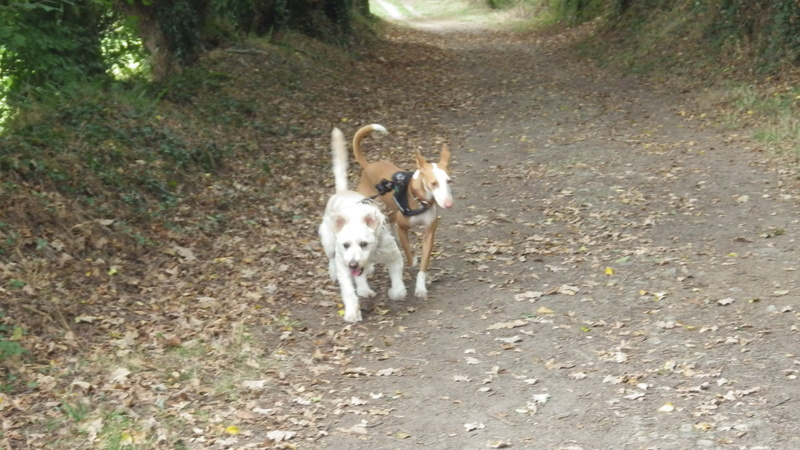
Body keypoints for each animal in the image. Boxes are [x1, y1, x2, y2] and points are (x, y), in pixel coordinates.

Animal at [318, 128, 406, 322]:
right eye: (345, 245)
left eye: (364, 244)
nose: (353, 264)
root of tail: (342, 191)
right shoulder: (344, 265)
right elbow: (349, 292)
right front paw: (352, 313)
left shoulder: (393, 256)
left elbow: (396, 279)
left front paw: (397, 292)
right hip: (329, 243)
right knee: (331, 260)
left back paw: (365, 288)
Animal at [354, 124, 454, 298]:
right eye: (433, 183)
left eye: (449, 181)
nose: (448, 204)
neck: (419, 200)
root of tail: (368, 166)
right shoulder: (403, 228)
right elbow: (407, 251)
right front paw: (411, 261)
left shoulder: (429, 234)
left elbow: (423, 266)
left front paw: (420, 287)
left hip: (393, 211)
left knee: (390, 221)